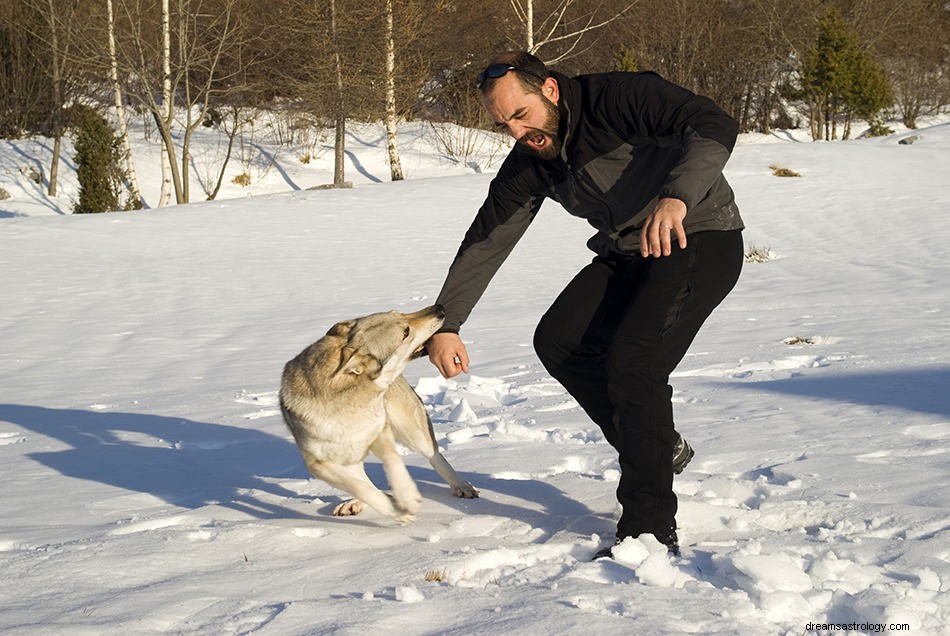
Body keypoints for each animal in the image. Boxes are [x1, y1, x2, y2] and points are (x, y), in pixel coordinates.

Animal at [278, 306, 480, 524]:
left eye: (398, 312)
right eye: (405, 332)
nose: (440, 308)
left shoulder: (380, 430)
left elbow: (393, 463)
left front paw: (407, 496)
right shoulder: (317, 464)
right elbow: (362, 488)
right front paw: (398, 509)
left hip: (413, 433)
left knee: (435, 456)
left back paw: (462, 487)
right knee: (362, 481)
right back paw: (357, 504)